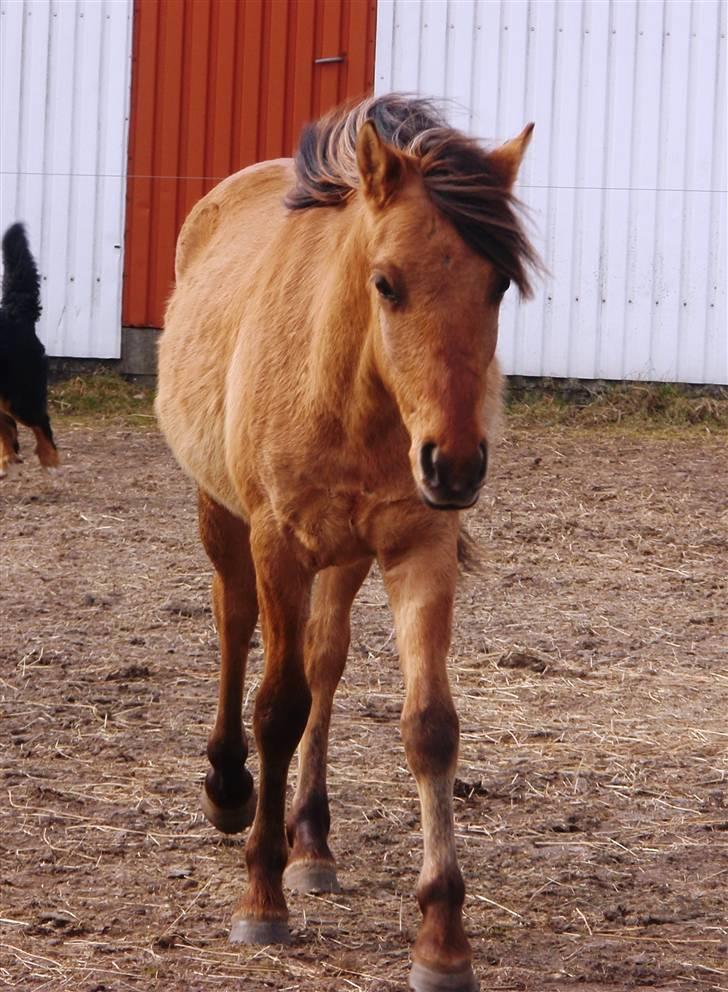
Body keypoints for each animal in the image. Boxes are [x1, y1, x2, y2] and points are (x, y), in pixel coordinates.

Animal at [156, 95, 536, 992]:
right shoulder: (277, 544)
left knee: (324, 662)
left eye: (499, 283)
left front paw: (442, 937)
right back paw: (230, 789)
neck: (351, 387)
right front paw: (260, 897)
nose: (454, 463)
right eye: (386, 282)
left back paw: (313, 843)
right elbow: (276, 706)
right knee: (235, 626)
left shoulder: (419, 547)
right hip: (224, 519)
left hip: (347, 556)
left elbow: (428, 725)